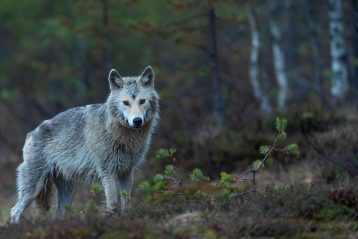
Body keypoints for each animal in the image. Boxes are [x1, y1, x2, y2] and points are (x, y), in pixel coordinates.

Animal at [9, 66, 159, 223]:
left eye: (142, 101)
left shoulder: (127, 172)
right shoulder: (107, 172)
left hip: (68, 192)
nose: (137, 121)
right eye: (126, 102)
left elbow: (126, 204)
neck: (121, 135)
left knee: (57, 215)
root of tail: (31, 133)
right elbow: (113, 204)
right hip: (33, 189)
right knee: (14, 211)